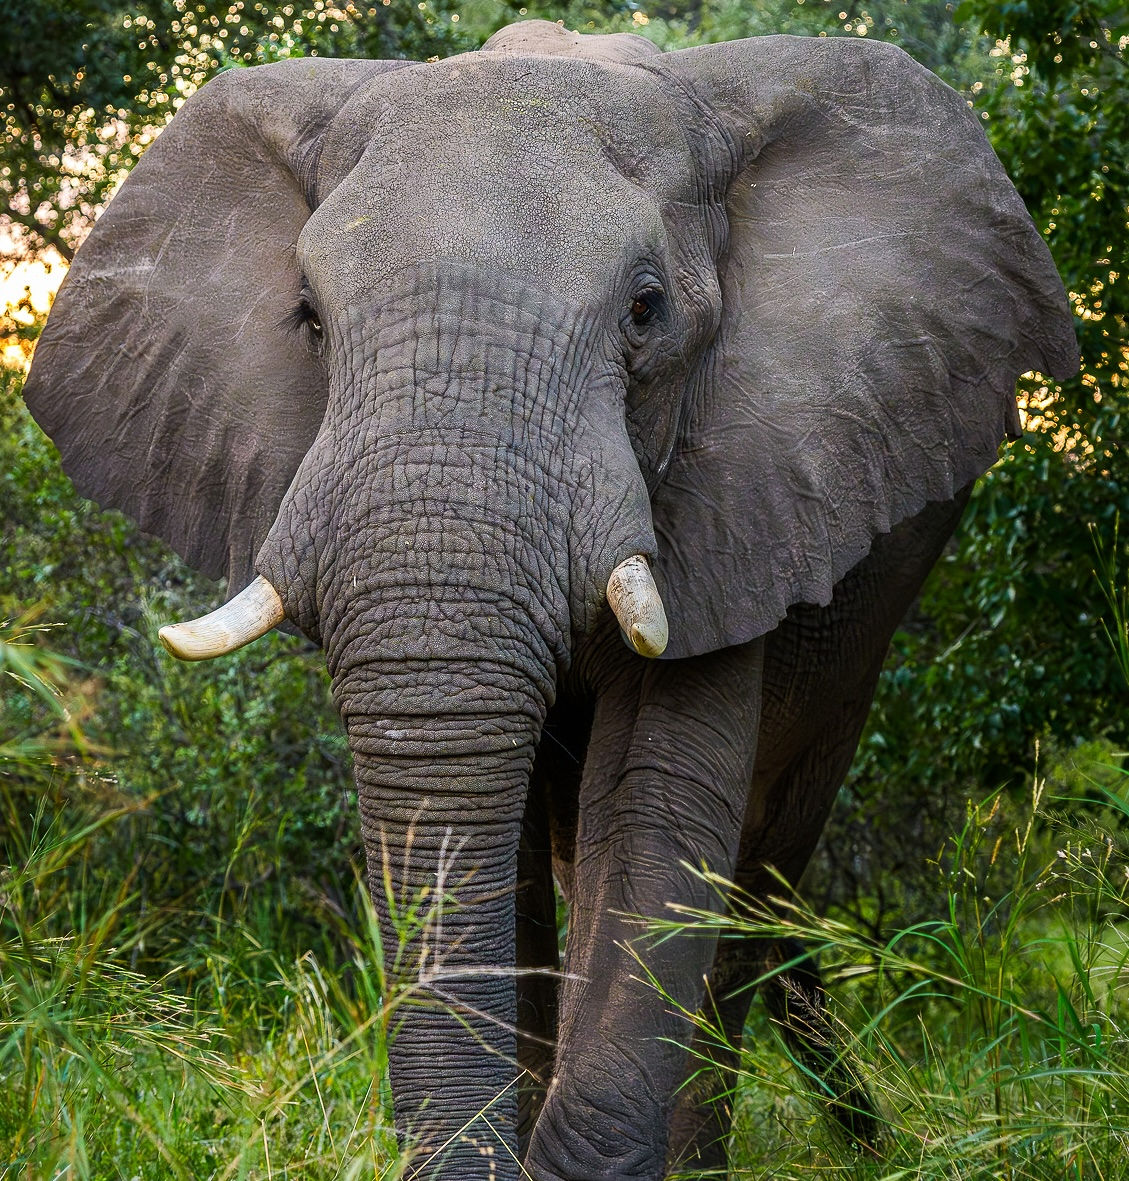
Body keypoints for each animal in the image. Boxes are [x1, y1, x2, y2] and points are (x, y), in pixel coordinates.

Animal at [24, 19, 1077, 1180]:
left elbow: (655, 803)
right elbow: (504, 831)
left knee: (756, 879)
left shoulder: (744, 490)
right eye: (307, 318)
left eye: (645, 309)